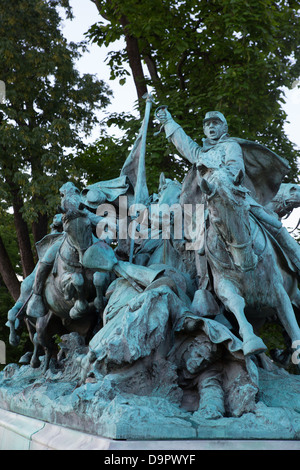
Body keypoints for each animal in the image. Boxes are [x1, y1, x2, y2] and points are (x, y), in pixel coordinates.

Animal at [198, 169, 300, 356]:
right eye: (217, 222)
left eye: (246, 210)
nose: (247, 261)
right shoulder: (223, 284)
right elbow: (235, 301)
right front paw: (251, 342)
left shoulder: (278, 291)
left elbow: (292, 327)